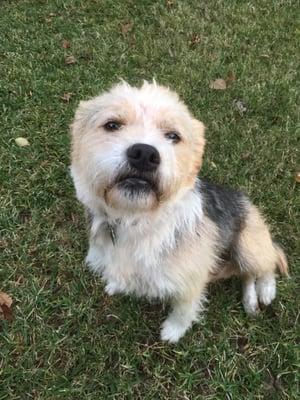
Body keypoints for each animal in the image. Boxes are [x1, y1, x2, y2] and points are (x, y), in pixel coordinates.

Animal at [70, 82, 288, 344]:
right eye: (112, 125)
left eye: (173, 135)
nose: (144, 154)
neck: (137, 220)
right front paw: (115, 285)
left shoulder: (190, 283)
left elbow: (184, 310)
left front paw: (173, 332)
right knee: (247, 275)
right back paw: (250, 300)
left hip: (248, 246)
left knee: (268, 263)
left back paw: (266, 291)